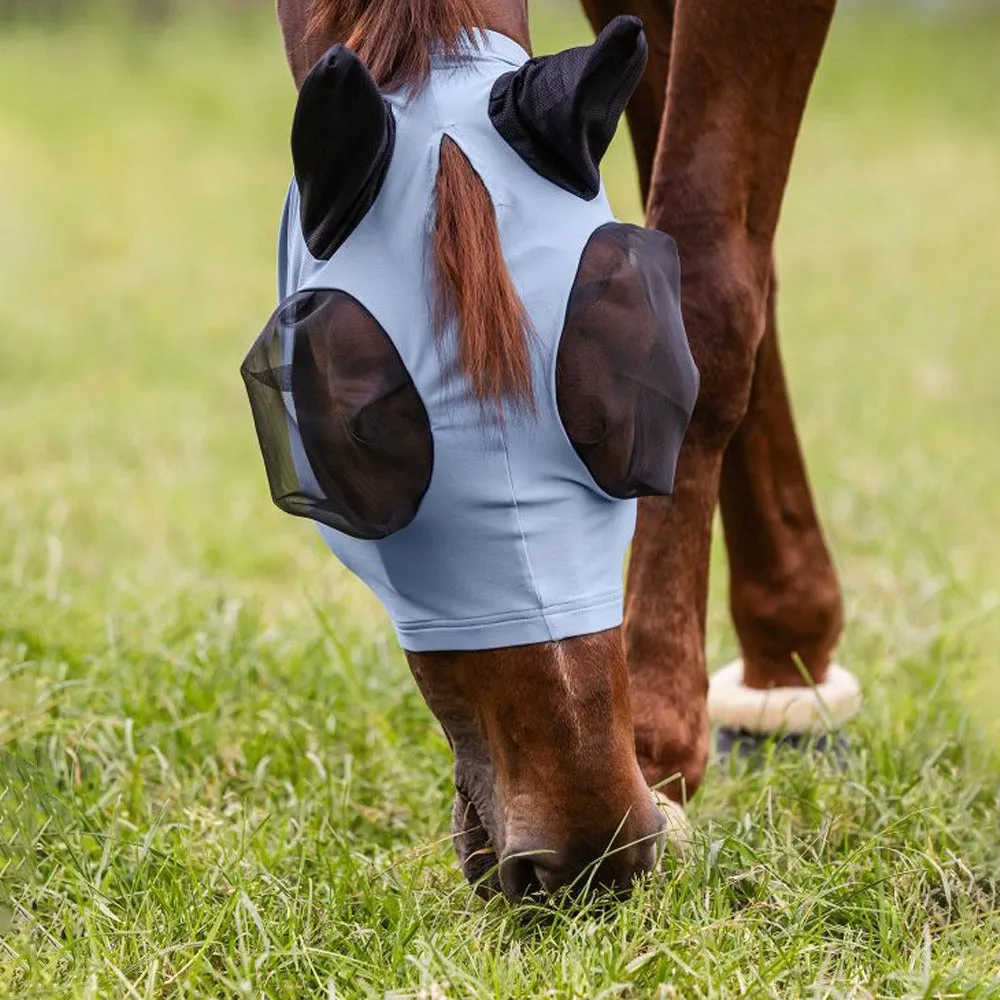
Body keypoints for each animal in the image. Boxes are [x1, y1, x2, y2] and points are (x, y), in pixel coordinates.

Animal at [255, 0, 862, 901]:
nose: (588, 851)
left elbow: (714, 282)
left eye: (644, 383)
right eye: (363, 435)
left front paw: (665, 734)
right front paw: (782, 654)